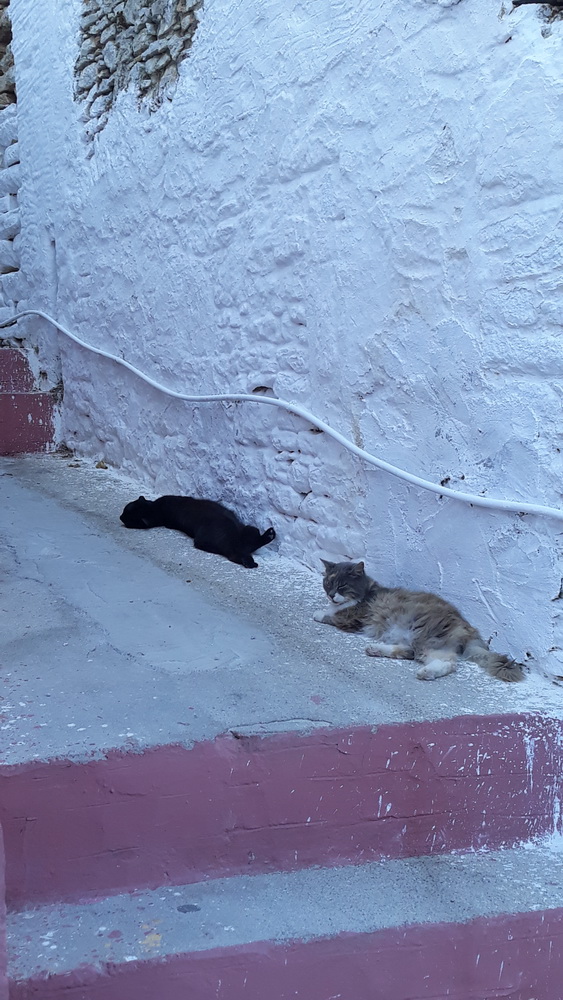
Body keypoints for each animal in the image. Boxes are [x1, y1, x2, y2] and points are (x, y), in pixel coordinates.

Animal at [120, 495, 276, 568]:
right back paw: (268, 537)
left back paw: (268, 535)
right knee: (245, 549)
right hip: (248, 531)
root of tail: (234, 544)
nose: (120, 517)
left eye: (127, 516)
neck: (155, 510)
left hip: (248, 530)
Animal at [314, 560, 524, 682]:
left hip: (425, 638)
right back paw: (375, 649)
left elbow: (331, 615)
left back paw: (426, 673)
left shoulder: (351, 616)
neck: (366, 592)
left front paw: (319, 612)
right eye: (329, 583)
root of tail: (468, 628)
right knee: (408, 652)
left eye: (342, 585)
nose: (331, 595)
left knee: (447, 662)